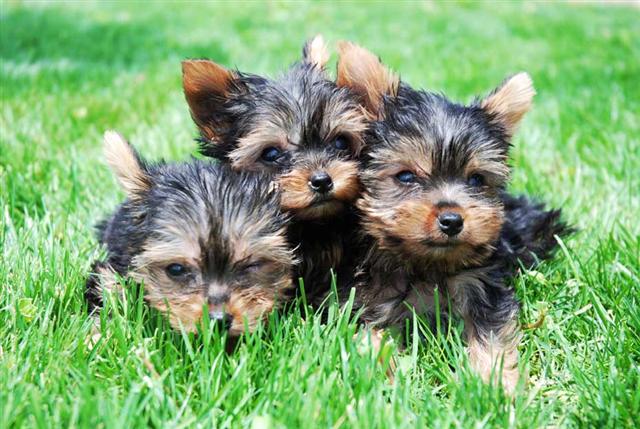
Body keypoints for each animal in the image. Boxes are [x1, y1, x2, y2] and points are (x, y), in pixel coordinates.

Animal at [85, 130, 296, 334]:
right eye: (176, 269)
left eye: (253, 265)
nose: (218, 320)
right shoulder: (110, 269)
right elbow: (107, 290)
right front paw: (97, 334)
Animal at [336, 42, 568, 392]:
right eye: (406, 176)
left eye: (475, 179)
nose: (452, 220)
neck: (427, 265)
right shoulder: (366, 296)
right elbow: (369, 333)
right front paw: (380, 378)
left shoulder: (483, 286)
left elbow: (491, 333)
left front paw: (494, 386)